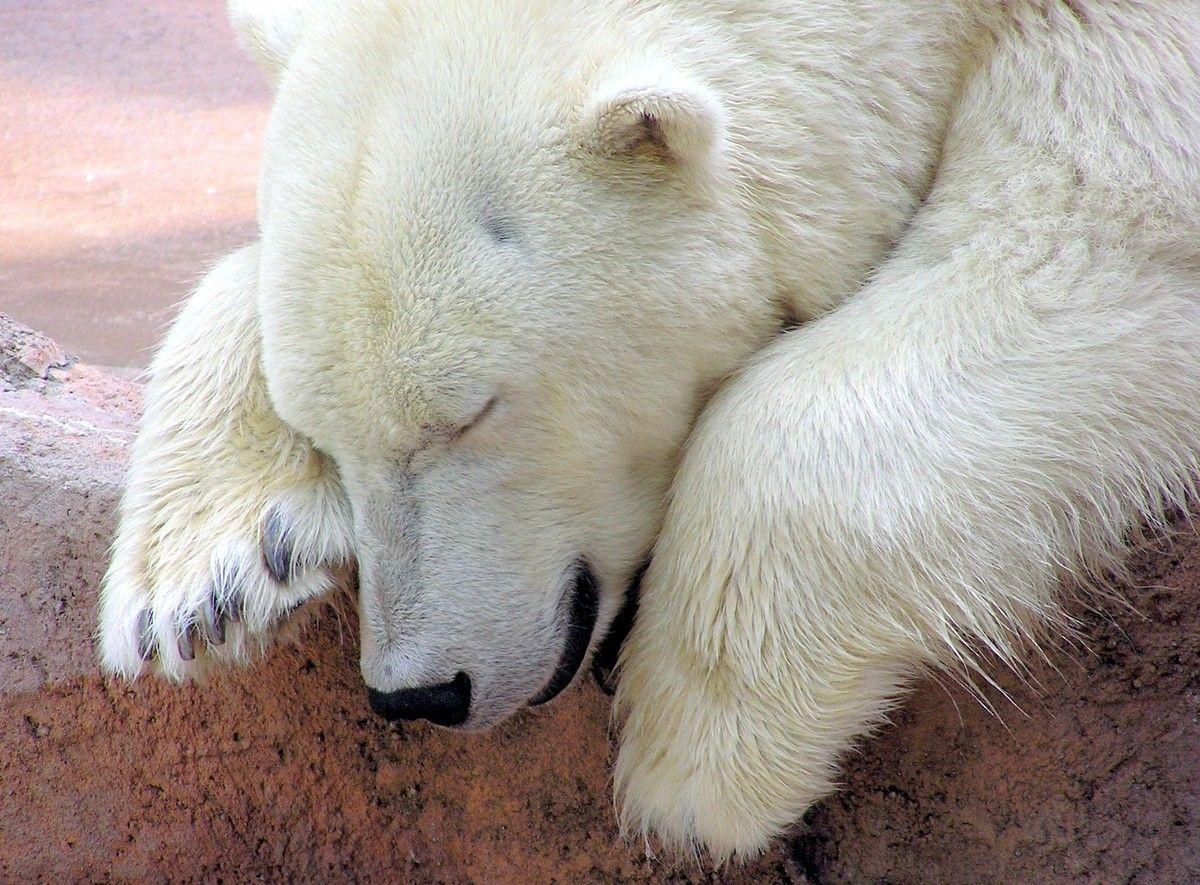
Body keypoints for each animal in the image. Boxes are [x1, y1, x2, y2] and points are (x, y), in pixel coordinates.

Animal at [98, 0, 1200, 861]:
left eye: (471, 412)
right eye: (325, 431)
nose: (421, 692)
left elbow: (1077, 249)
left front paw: (697, 762)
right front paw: (202, 577)